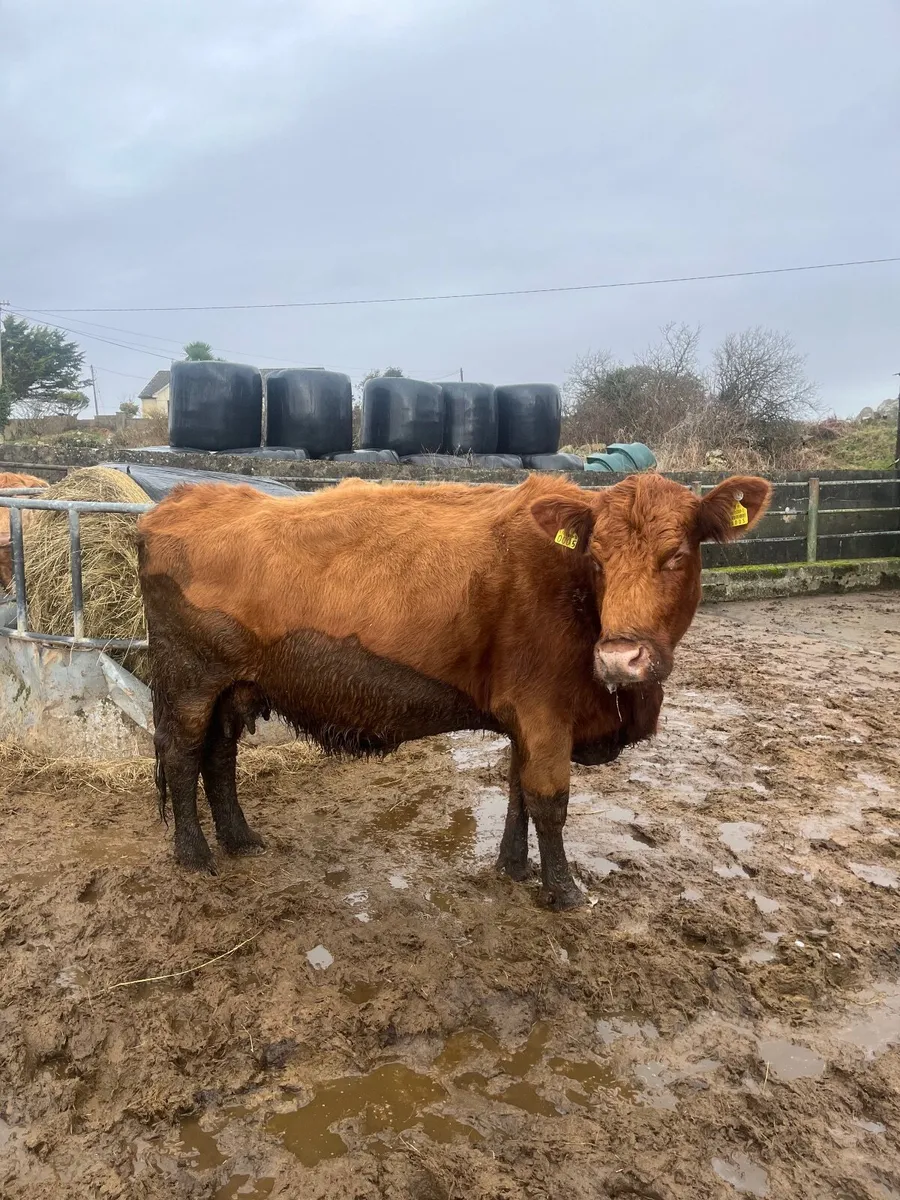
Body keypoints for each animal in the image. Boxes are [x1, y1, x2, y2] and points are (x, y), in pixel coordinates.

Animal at [137, 470, 771, 909]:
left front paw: (513, 867)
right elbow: (548, 801)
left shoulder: (528, 720)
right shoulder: (544, 714)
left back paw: (240, 839)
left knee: (219, 759)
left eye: (678, 554)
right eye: (595, 557)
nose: (621, 658)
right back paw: (194, 855)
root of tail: (181, 499)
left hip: (233, 690)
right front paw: (564, 891)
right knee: (182, 756)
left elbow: (517, 793)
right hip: (190, 685)